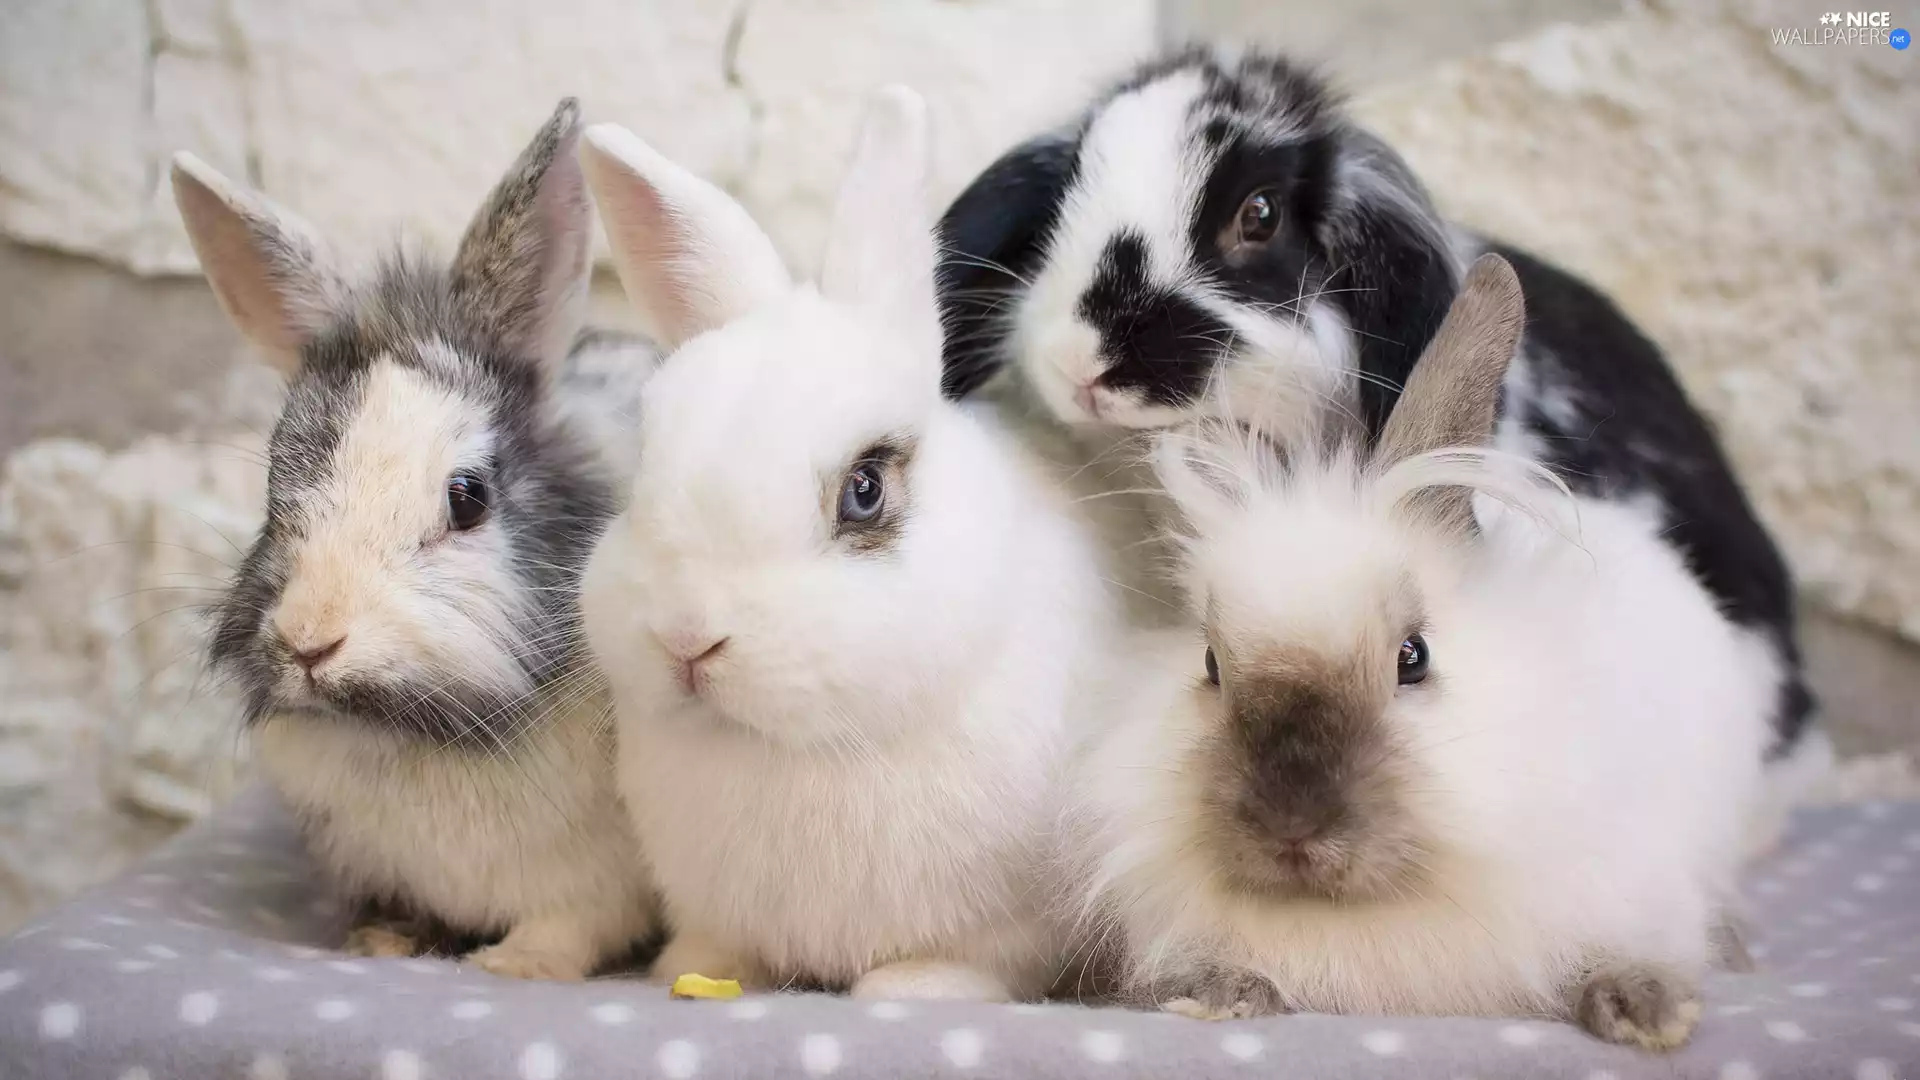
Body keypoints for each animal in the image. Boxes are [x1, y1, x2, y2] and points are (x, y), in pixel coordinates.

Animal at [182, 98, 661, 980]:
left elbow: (570, 928)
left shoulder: (602, 886)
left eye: (467, 499)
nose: (310, 641)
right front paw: (381, 943)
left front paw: (512, 966)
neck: (417, 729)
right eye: (274, 479)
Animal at [576, 86, 1122, 1001]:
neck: (802, 750)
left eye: (864, 491)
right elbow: (720, 948)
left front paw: (907, 989)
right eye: (644, 456)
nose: (687, 639)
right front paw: (690, 969)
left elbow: (973, 961)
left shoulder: (1013, 926)